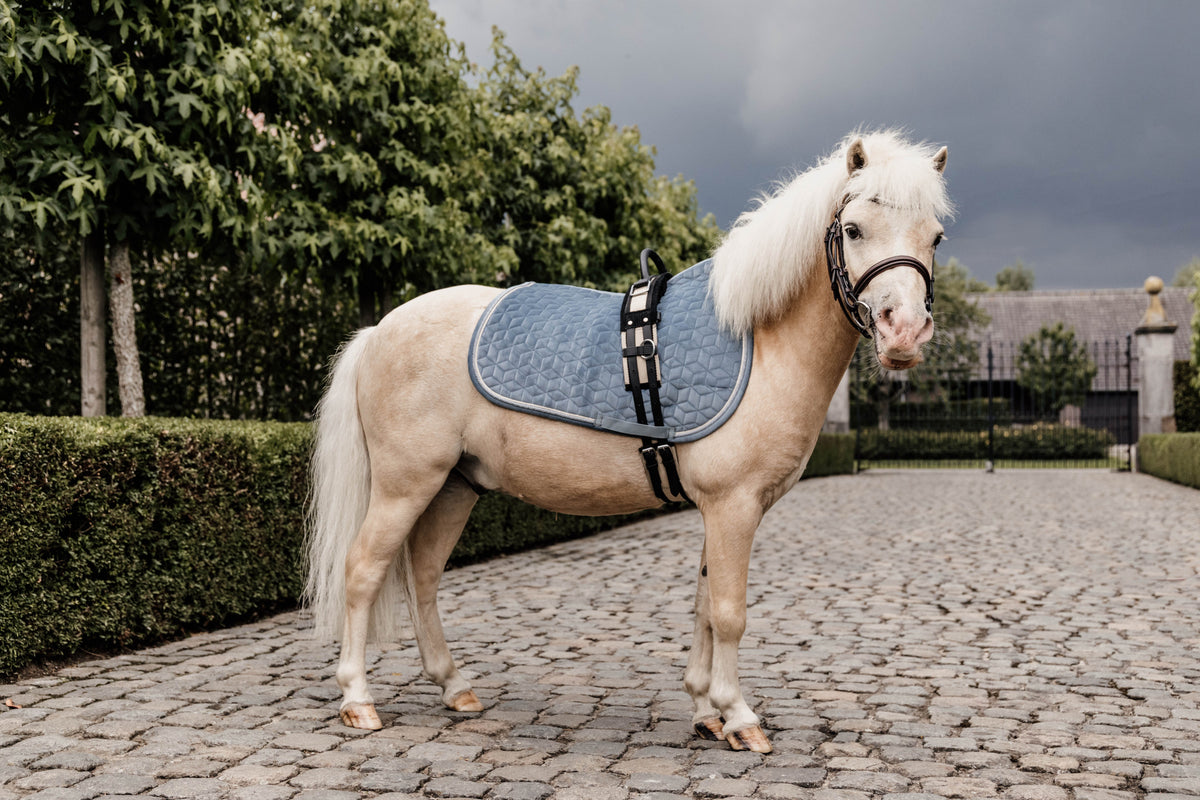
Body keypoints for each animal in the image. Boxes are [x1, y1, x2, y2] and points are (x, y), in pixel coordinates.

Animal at [305, 129, 952, 754]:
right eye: (853, 228)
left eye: (936, 237)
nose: (904, 332)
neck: (760, 341)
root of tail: (379, 330)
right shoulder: (734, 505)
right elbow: (729, 612)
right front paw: (740, 717)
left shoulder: (720, 509)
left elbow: (704, 606)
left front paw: (704, 711)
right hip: (405, 485)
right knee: (363, 570)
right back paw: (358, 700)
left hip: (454, 488)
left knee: (424, 578)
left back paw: (454, 687)